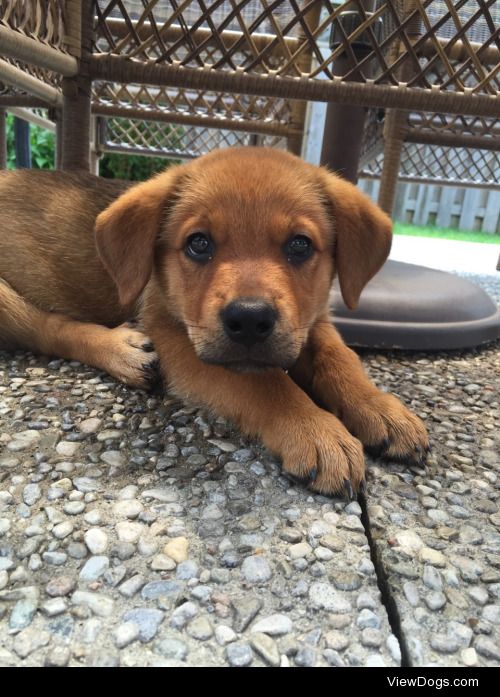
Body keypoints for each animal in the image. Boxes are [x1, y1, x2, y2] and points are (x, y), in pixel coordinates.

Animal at [0, 149, 430, 492]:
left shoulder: (311, 320)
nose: (250, 320)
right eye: (198, 243)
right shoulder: (179, 339)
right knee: (47, 328)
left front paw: (380, 407)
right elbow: (263, 382)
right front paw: (316, 428)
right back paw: (122, 350)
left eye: (300, 245)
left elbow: (339, 357)